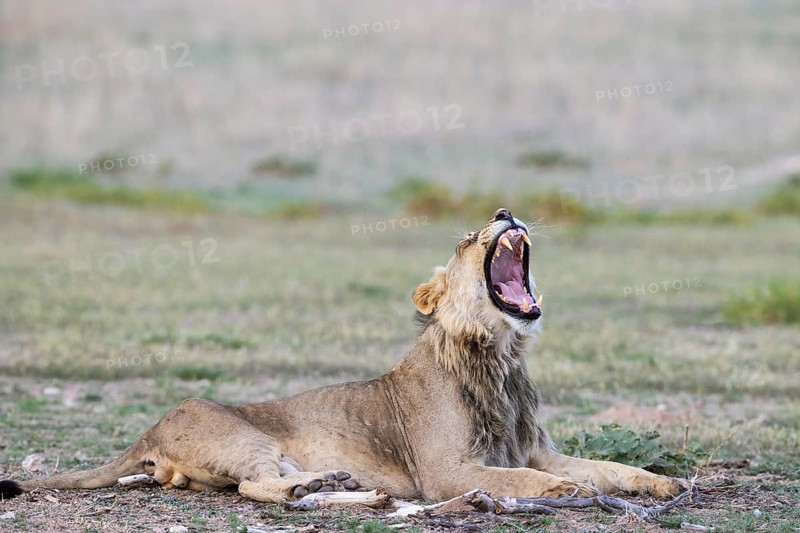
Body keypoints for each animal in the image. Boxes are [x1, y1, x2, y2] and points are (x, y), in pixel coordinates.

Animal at [0, 208, 689, 504]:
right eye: (470, 236)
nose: (505, 210)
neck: (501, 357)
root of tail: (149, 428)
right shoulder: (447, 472)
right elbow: (523, 480)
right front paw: (558, 493)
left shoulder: (533, 447)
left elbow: (606, 466)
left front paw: (664, 483)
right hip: (243, 438)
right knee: (254, 486)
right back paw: (329, 486)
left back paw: (344, 487)